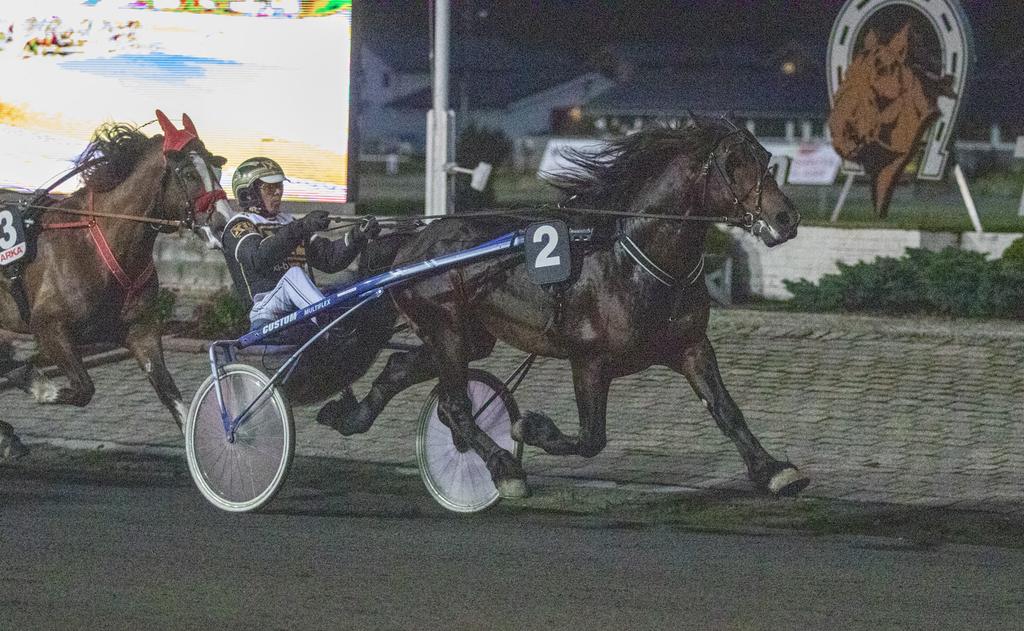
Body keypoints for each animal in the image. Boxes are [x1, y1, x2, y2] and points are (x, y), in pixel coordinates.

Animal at [0, 111, 232, 458]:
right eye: (190, 173)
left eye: (215, 170)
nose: (224, 223)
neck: (99, 243)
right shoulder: (49, 326)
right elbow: (83, 389)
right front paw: (31, 381)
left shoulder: (140, 329)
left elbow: (172, 396)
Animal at [327, 119, 806, 497]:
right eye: (733, 163)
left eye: (766, 158)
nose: (786, 218)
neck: (633, 260)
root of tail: (410, 245)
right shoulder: (589, 360)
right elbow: (592, 438)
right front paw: (529, 428)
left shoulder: (691, 346)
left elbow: (727, 410)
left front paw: (774, 470)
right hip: (445, 326)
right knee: (457, 407)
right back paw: (505, 468)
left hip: (468, 335)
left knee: (403, 371)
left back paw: (351, 416)